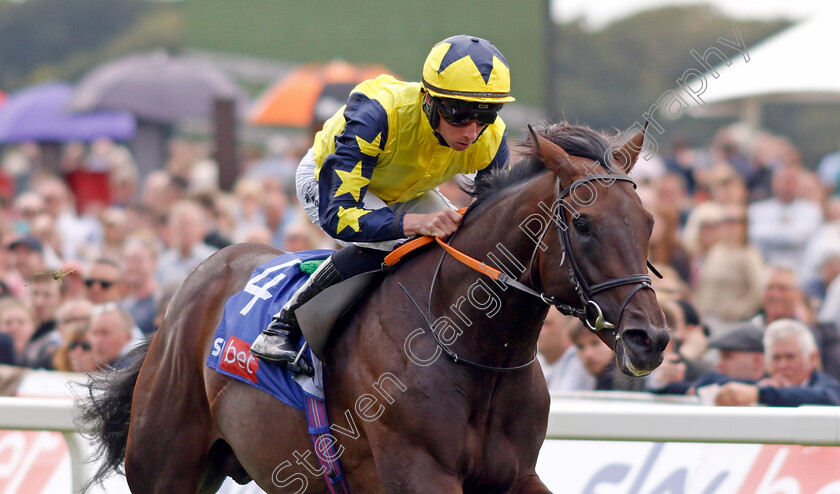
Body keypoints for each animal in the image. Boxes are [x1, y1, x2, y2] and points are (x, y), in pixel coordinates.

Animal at [80, 122, 668, 490]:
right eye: (583, 224)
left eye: (648, 222)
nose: (651, 338)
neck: (476, 353)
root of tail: (196, 281)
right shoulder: (419, 473)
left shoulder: (518, 475)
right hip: (165, 465)